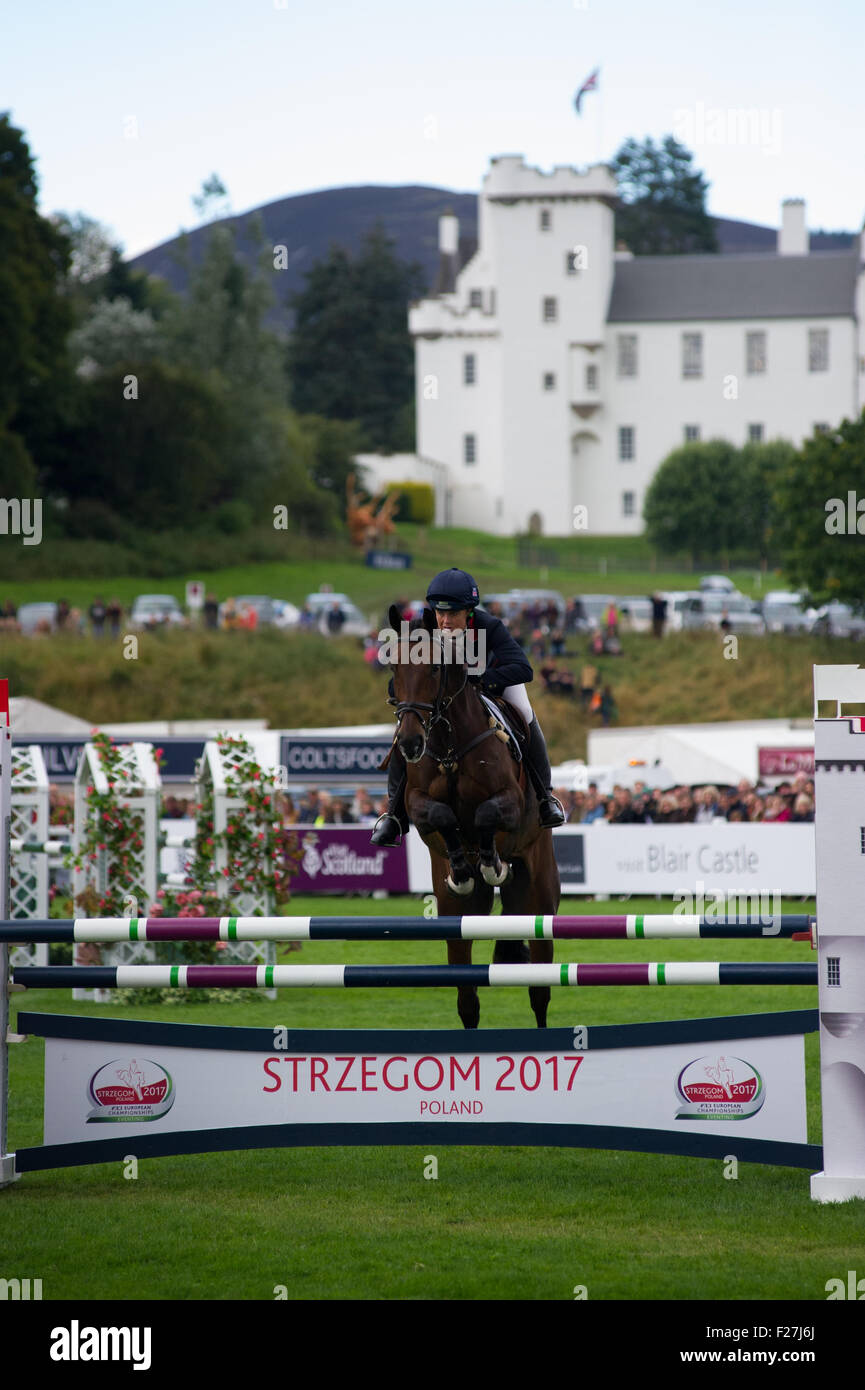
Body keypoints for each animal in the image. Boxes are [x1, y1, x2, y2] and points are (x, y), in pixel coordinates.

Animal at [381, 603, 559, 1028]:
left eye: (434, 668)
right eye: (394, 667)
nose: (409, 743)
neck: (448, 745)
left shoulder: (510, 800)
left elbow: (485, 815)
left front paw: (491, 863)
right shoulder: (416, 803)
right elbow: (442, 816)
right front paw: (462, 867)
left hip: (541, 898)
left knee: (539, 990)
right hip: (461, 917)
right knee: (467, 998)